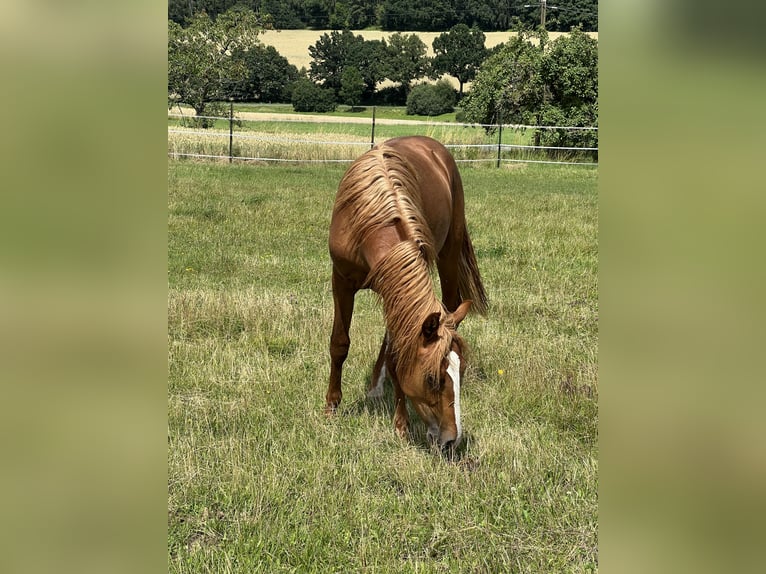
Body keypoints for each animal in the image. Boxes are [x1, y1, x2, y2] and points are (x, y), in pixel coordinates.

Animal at [328, 136, 488, 454]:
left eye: (461, 372)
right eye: (432, 378)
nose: (451, 441)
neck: (371, 219)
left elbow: (396, 356)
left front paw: (400, 425)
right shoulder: (342, 280)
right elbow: (340, 343)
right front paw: (331, 406)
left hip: (449, 254)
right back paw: (375, 387)